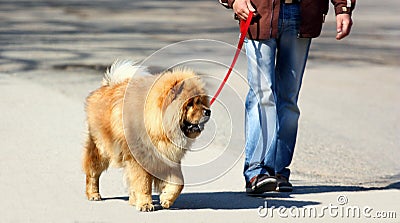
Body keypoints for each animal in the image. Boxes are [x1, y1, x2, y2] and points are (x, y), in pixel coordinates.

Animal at [83, 60, 211, 212]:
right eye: (190, 104)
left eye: (201, 101)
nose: (208, 111)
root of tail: (106, 86)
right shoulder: (140, 160)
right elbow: (143, 183)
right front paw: (145, 204)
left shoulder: (168, 158)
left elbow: (179, 183)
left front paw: (166, 199)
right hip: (102, 150)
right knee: (92, 173)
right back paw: (93, 194)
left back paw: (133, 200)